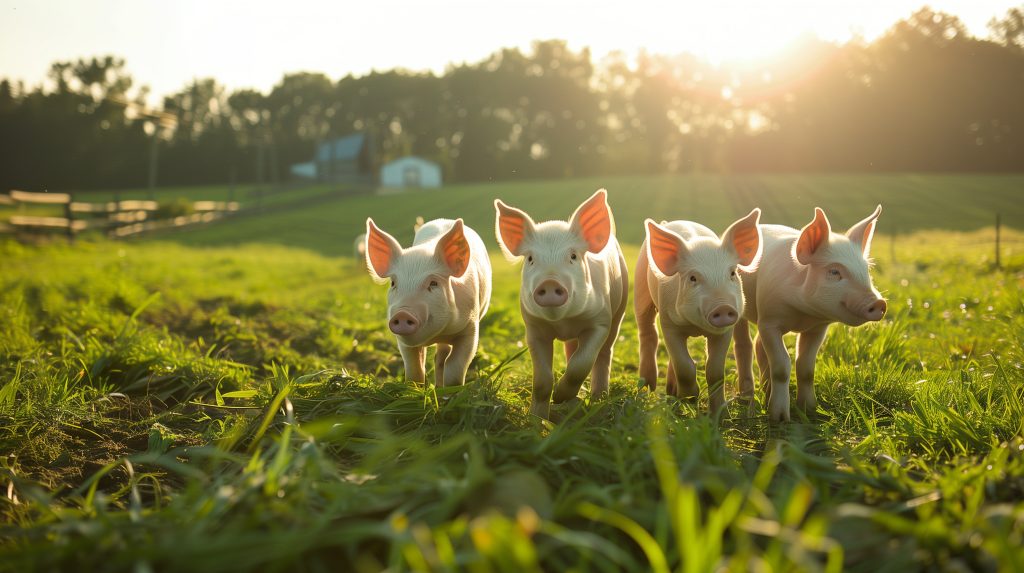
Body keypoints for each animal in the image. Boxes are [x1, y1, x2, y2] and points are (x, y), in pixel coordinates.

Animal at [364, 218, 492, 386]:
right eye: (393, 283)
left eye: (433, 283)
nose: (403, 313)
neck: (439, 334)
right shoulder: (404, 342)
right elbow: (414, 370)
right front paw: (414, 389)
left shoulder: (470, 329)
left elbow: (454, 369)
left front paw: (451, 390)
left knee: (441, 358)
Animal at [494, 189, 629, 419]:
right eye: (530, 259)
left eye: (573, 256)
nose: (550, 282)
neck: (563, 322)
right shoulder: (534, 329)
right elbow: (542, 380)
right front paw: (536, 419)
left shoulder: (600, 322)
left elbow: (581, 363)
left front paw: (559, 397)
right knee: (571, 349)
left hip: (619, 310)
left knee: (604, 354)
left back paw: (598, 401)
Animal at [635, 209, 762, 413]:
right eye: (693, 278)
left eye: (732, 273)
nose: (723, 307)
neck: (695, 327)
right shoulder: (668, 324)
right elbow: (685, 366)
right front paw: (689, 400)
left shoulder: (725, 331)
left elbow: (715, 371)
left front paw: (719, 413)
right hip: (641, 291)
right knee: (648, 334)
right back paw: (648, 389)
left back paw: (671, 391)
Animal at [733, 206, 887, 423]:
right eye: (834, 272)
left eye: (867, 271)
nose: (879, 302)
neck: (802, 313)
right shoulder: (769, 321)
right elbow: (782, 365)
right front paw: (780, 418)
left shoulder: (817, 328)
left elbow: (806, 368)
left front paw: (810, 411)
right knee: (744, 345)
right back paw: (746, 396)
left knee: (758, 345)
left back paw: (766, 391)